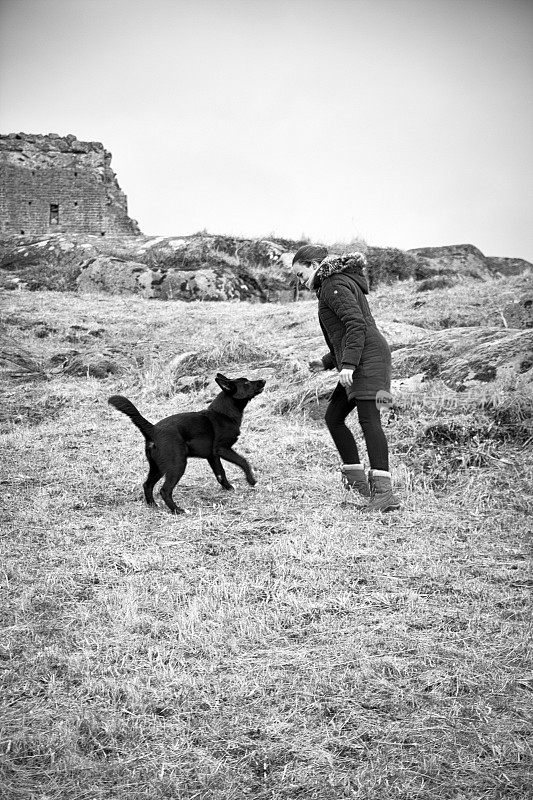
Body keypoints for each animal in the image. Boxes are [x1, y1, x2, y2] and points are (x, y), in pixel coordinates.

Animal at [108, 374, 266, 516]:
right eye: (246, 383)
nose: (263, 380)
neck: (223, 413)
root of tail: (153, 429)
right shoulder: (223, 449)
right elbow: (243, 462)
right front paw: (252, 481)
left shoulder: (212, 456)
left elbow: (221, 474)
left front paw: (228, 488)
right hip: (177, 465)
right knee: (164, 490)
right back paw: (177, 510)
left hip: (158, 467)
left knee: (147, 485)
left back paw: (153, 505)